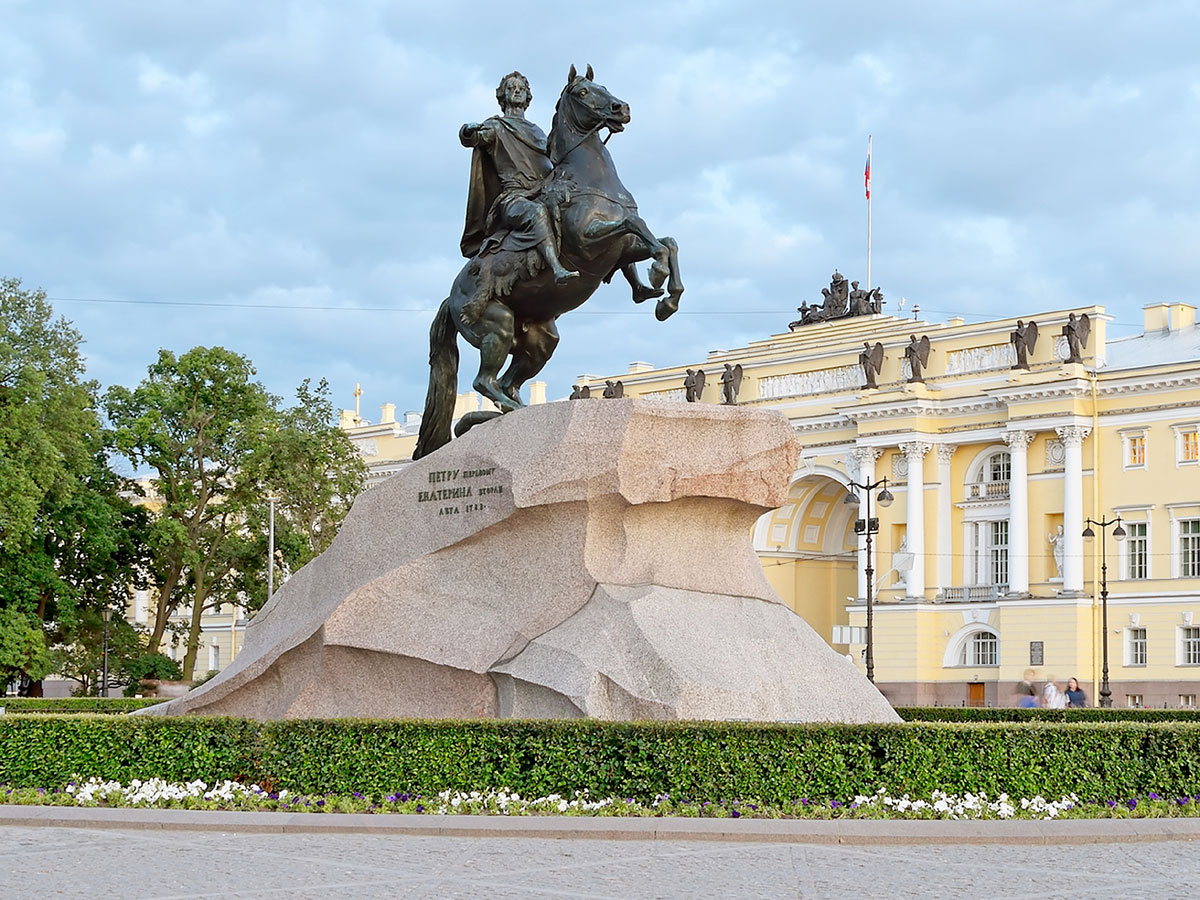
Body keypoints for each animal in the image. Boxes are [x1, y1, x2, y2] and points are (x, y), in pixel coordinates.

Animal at [412, 65, 686, 458]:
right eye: (583, 92)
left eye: (603, 86)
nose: (621, 109)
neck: (589, 179)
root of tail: (451, 299)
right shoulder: (589, 243)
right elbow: (640, 227)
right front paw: (658, 275)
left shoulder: (621, 249)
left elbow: (665, 241)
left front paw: (663, 296)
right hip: (497, 327)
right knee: (485, 382)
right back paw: (511, 411)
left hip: (539, 343)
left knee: (507, 383)